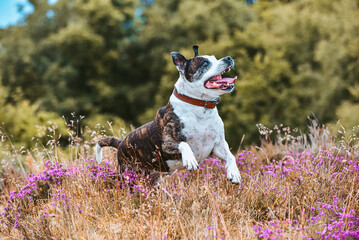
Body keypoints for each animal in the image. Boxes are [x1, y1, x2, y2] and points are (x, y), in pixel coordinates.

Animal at [95, 45, 242, 184]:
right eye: (205, 63)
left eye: (215, 58)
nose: (228, 58)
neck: (201, 106)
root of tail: (121, 143)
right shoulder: (167, 144)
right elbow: (184, 144)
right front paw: (190, 159)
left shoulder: (218, 144)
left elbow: (230, 155)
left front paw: (234, 173)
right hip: (127, 175)